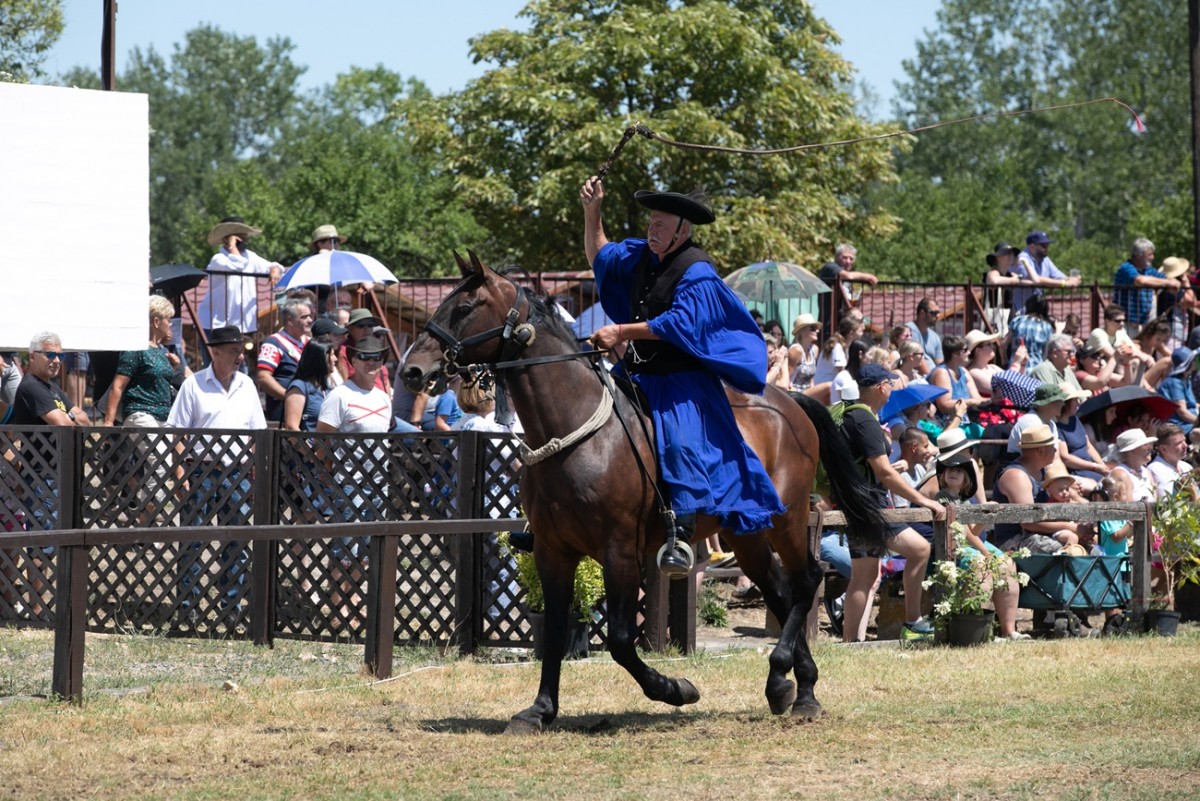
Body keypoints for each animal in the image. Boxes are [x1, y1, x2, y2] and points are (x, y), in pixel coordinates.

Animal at [405, 251, 892, 733]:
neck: (576, 433)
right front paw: (540, 710)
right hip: (746, 532)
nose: (412, 369)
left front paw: (675, 688)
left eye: (465, 307)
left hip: (785, 518)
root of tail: (791, 402)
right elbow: (557, 630)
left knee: (805, 579)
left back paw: (787, 680)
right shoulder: (552, 550)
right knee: (778, 587)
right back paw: (796, 686)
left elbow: (621, 640)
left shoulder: (620, 549)